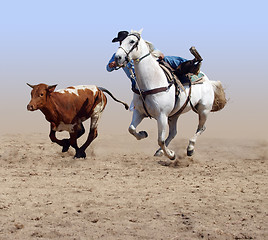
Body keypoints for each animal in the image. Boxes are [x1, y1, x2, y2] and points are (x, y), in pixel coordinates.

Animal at [115, 29, 226, 159]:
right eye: (121, 41)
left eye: (132, 41)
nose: (118, 57)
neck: (151, 81)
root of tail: (208, 81)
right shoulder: (139, 112)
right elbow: (131, 129)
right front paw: (143, 134)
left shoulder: (162, 115)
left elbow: (160, 140)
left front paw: (171, 155)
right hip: (174, 115)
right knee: (173, 132)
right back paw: (160, 151)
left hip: (204, 110)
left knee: (201, 128)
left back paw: (190, 148)